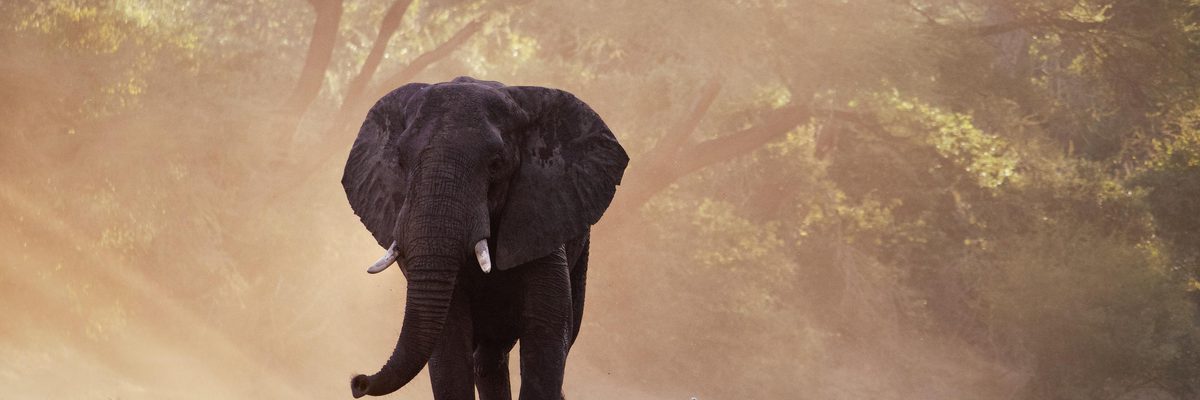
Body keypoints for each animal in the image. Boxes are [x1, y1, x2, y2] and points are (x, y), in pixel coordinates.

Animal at [341, 76, 628, 400]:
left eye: (496, 164)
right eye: (401, 161)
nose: (358, 382)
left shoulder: (542, 212)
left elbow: (547, 327)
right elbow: (449, 338)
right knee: (489, 356)